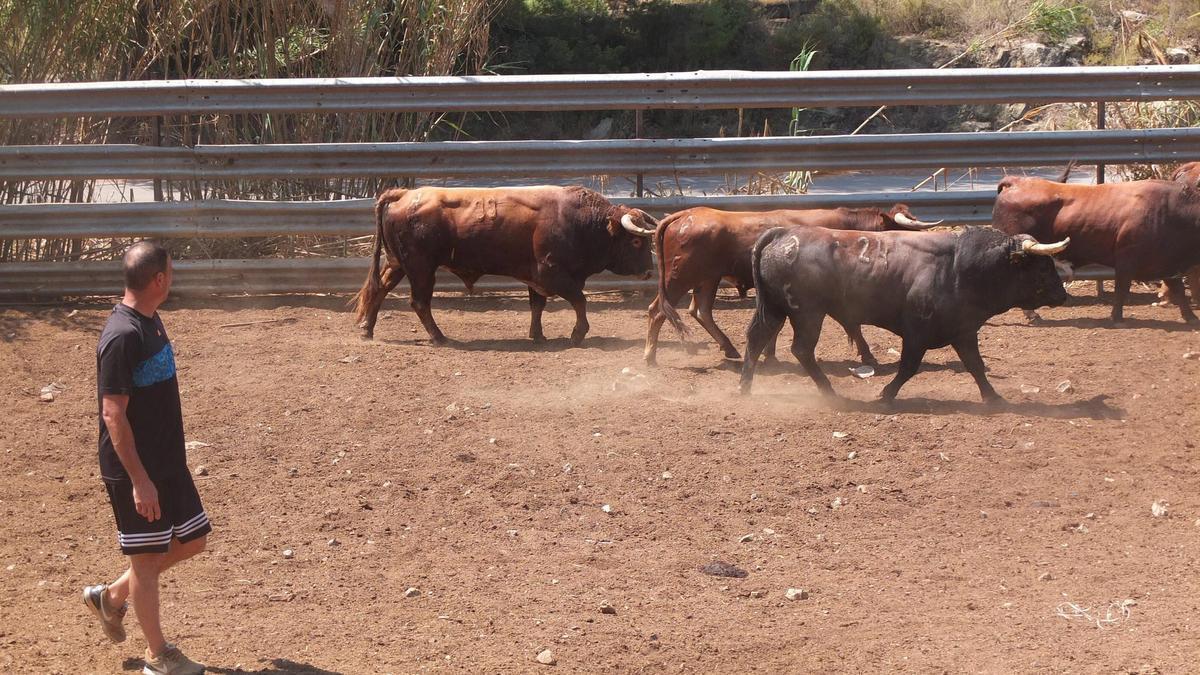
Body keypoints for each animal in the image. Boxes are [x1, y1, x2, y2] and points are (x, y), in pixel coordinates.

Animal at [350, 183, 662, 343]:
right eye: (636, 242)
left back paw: (367, 329)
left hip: (397, 263)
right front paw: (577, 333)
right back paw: (439, 337)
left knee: (379, 289)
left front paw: (537, 336)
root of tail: (403, 193)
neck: (581, 221)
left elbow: (538, 306)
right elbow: (579, 300)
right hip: (421, 268)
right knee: (419, 302)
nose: (649, 271)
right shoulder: (552, 273)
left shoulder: (536, 277)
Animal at [643, 204, 940, 365]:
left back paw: (729, 347)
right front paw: (867, 355)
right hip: (680, 278)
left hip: (707, 278)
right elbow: (851, 323)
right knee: (657, 310)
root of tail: (684, 215)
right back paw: (649, 356)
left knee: (701, 310)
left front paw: (769, 355)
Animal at [739, 225, 1070, 401]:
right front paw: (886, 393)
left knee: (756, 340)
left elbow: (975, 365)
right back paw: (829, 391)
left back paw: (745, 386)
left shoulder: (962, 331)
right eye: (1043, 267)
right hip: (807, 314)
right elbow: (908, 367)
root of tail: (785, 233)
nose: (1063, 294)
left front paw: (993, 397)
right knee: (801, 349)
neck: (958, 267)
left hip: (775, 310)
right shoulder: (916, 334)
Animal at [988, 176, 1200, 324]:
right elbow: (1121, 289)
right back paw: (1031, 315)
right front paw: (1117, 318)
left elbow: (1179, 291)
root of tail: (1016, 182)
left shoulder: (1167, 264)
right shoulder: (1126, 260)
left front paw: (1191, 318)